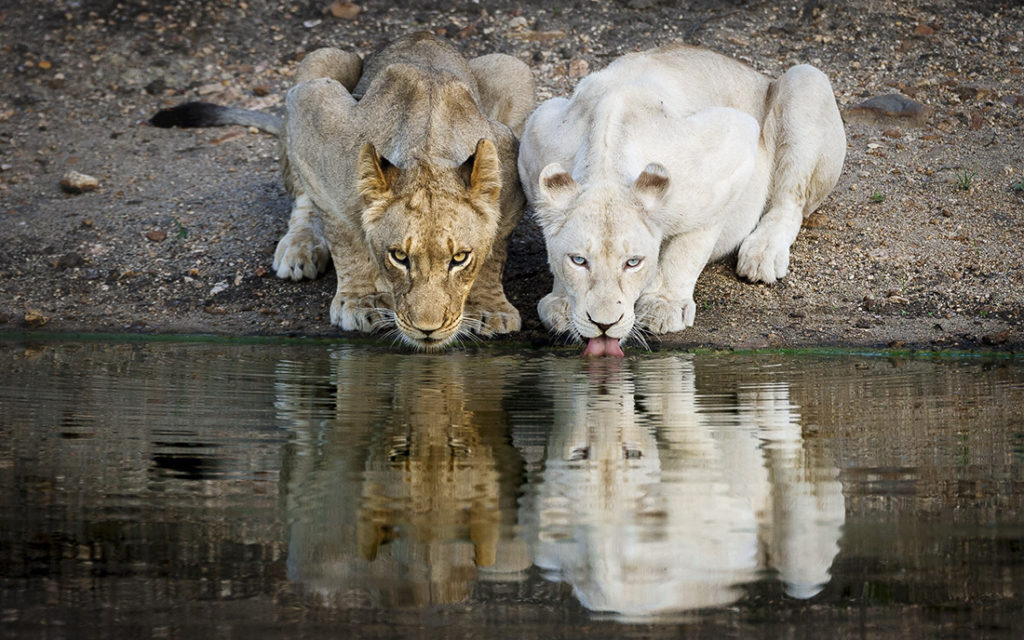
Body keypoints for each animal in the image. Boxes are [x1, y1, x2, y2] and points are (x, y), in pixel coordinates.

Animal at [520, 45, 847, 354]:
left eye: (633, 262)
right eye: (578, 260)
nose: (604, 324)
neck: (605, 161)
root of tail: (760, 75)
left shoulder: (731, 145)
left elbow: (689, 246)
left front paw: (664, 304)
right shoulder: (536, 132)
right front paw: (562, 303)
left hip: (806, 80)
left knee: (790, 202)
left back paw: (762, 255)